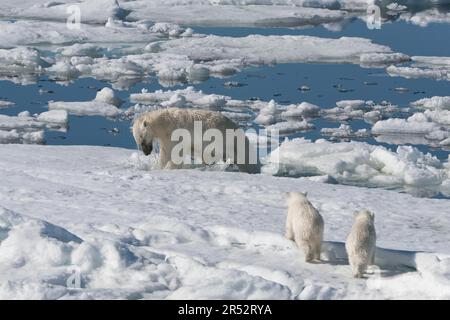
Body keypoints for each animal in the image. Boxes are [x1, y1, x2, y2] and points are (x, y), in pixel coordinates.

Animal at [132, 107, 260, 174]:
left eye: (142, 139)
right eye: (138, 141)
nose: (146, 152)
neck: (164, 122)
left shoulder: (175, 133)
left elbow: (174, 153)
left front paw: (168, 168)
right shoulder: (165, 138)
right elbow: (165, 153)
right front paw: (158, 167)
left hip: (220, 138)